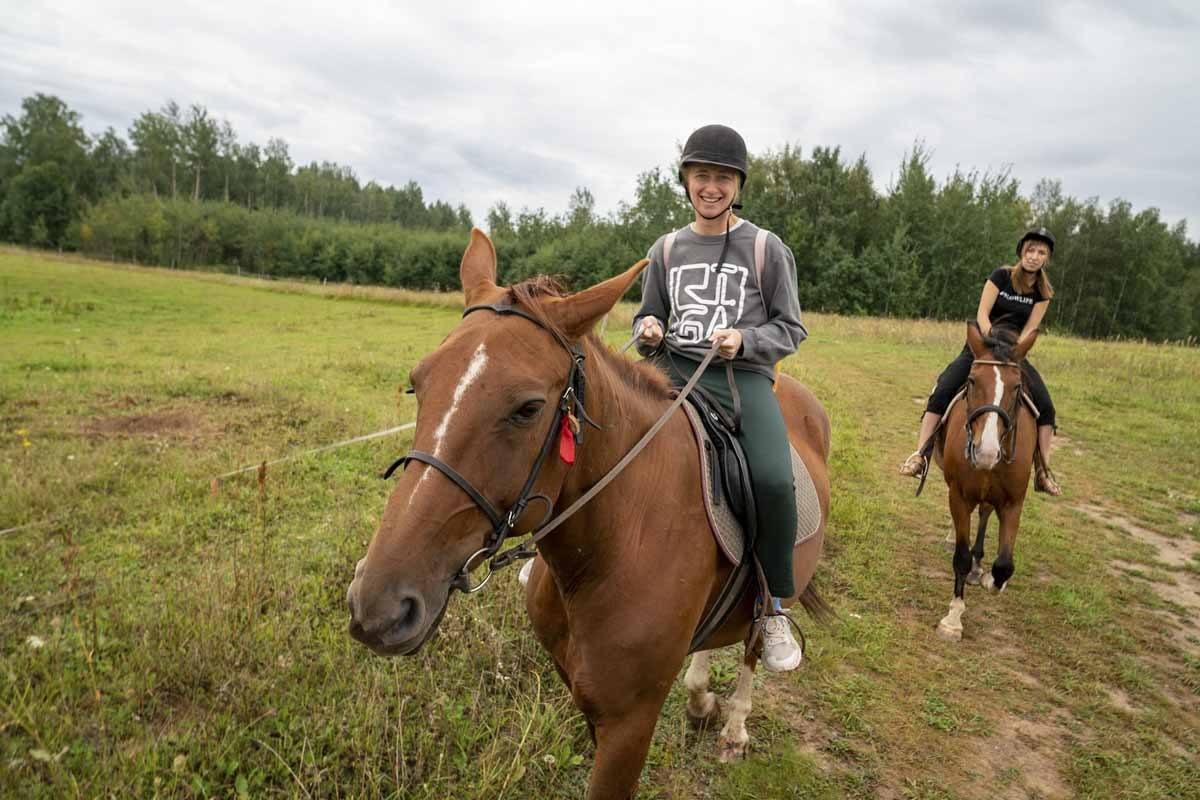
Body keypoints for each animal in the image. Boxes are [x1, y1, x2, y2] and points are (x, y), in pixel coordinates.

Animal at [348, 227, 830, 796]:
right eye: (417, 384)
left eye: (529, 408)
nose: (377, 606)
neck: (619, 542)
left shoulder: (630, 722)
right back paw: (700, 698)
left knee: (755, 640)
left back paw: (734, 724)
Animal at [931, 321, 1036, 642]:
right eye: (972, 381)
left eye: (1017, 387)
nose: (986, 451)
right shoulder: (959, 495)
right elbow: (961, 558)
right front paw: (953, 619)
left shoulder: (1014, 502)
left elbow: (1004, 565)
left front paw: (991, 578)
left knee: (986, 512)